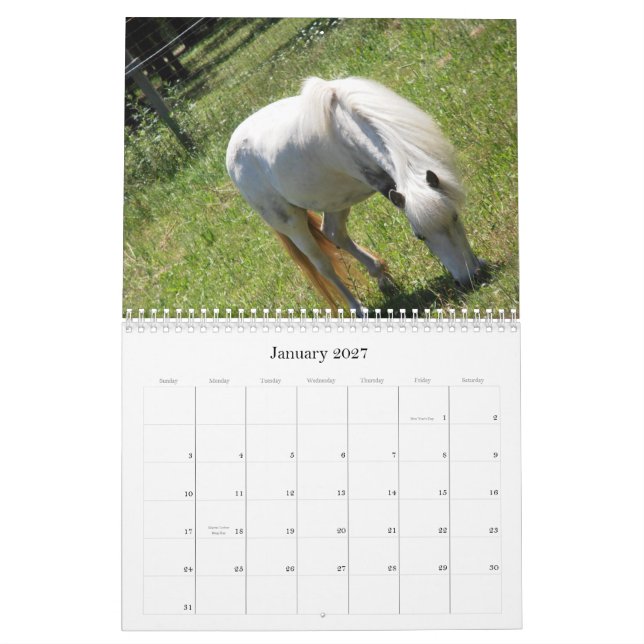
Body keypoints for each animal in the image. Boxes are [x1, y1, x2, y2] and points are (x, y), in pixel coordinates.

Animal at [225, 76, 484, 311]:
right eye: (420, 236)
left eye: (455, 218)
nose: (469, 279)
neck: (348, 124)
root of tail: (232, 151)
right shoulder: (384, 183)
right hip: (291, 223)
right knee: (322, 264)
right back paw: (358, 308)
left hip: (335, 202)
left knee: (333, 232)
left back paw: (381, 276)